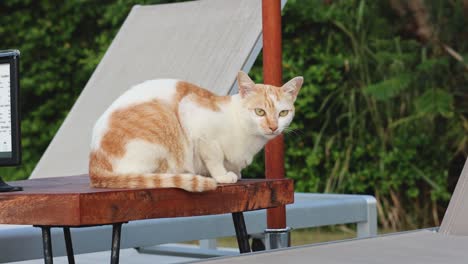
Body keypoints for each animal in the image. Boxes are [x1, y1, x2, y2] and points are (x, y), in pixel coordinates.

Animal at [89, 71, 304, 192]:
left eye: (283, 113)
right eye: (260, 112)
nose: (273, 126)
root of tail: (94, 166)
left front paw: (234, 171)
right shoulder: (196, 119)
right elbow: (214, 157)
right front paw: (222, 176)